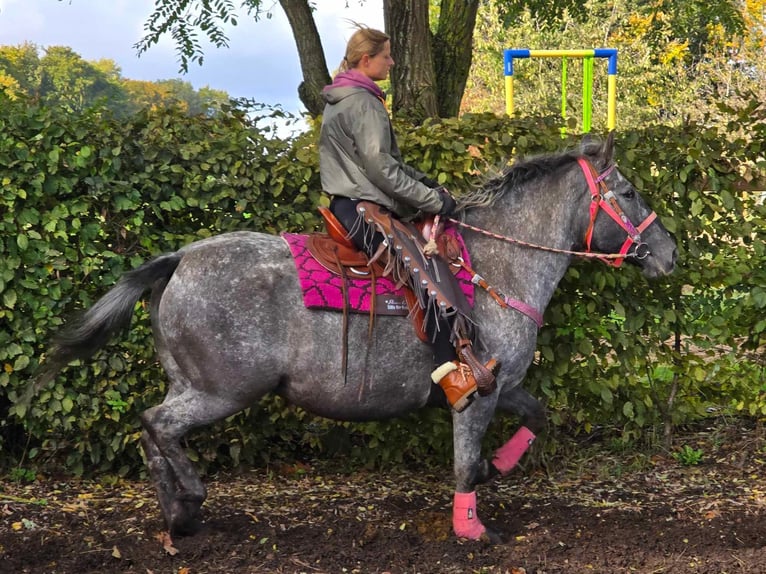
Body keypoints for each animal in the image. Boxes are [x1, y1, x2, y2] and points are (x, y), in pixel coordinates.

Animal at [37, 134, 680, 544]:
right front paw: (472, 528)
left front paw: (499, 465)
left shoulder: (506, 384)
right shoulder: (477, 393)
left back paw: (177, 516)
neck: (496, 265)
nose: (670, 251)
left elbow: (537, 417)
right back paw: (190, 498)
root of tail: (178, 260)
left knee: (151, 431)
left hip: (189, 382)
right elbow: (463, 464)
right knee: (157, 425)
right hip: (223, 389)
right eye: (628, 193)